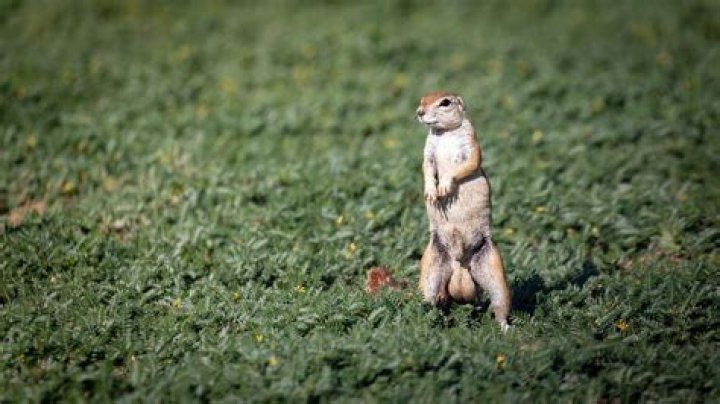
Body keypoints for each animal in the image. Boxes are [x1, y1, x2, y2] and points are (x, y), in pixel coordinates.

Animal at [415, 91, 511, 331]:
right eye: (422, 99)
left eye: (445, 102)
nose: (419, 112)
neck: (445, 133)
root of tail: (459, 263)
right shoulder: (428, 151)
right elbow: (426, 166)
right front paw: (431, 192)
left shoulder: (470, 142)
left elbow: (469, 162)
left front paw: (444, 187)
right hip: (430, 268)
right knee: (430, 299)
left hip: (494, 270)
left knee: (500, 303)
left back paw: (506, 328)